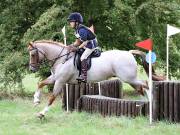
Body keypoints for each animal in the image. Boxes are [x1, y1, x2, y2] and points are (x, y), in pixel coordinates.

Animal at [27, 39, 164, 118]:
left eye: (33, 54)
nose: (32, 69)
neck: (62, 58)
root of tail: (129, 53)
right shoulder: (54, 78)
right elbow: (40, 83)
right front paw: (36, 100)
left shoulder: (60, 81)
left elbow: (52, 97)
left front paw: (42, 113)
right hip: (129, 79)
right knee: (141, 88)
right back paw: (144, 104)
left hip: (128, 78)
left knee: (145, 83)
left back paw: (151, 102)